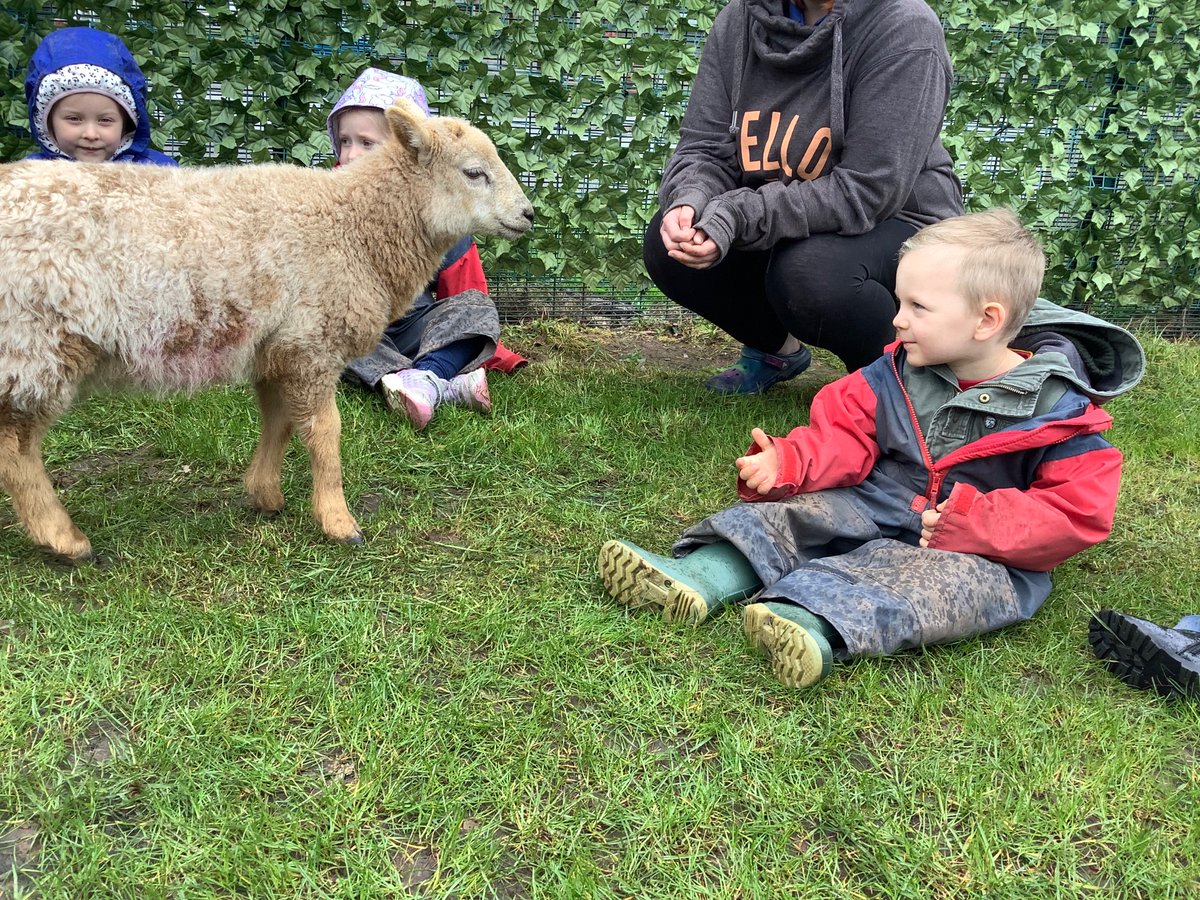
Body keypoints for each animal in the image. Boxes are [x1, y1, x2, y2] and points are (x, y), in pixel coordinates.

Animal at [0, 99, 534, 562]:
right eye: (473, 173)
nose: (529, 214)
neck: (354, 226)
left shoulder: (278, 347)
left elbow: (279, 422)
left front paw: (265, 494)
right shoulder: (312, 342)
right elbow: (325, 431)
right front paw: (338, 520)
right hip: (34, 344)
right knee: (16, 448)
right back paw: (64, 539)